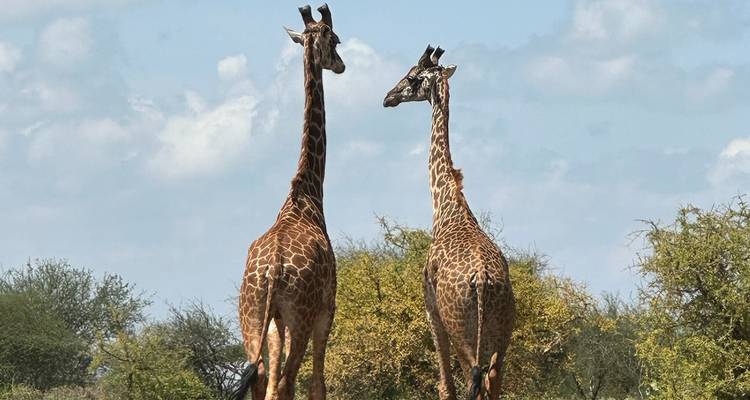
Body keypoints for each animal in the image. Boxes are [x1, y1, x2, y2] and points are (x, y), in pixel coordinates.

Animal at [234, 4, 345, 400]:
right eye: (336, 39)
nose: (341, 65)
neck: (306, 194)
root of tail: (271, 271)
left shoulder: (274, 321)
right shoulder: (327, 306)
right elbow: (317, 385)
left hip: (252, 315)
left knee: (262, 376)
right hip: (300, 314)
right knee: (284, 380)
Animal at [383, 46, 516, 400]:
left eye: (412, 77)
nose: (388, 97)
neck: (447, 208)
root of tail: (482, 281)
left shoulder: (431, 309)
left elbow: (445, 384)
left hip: (461, 329)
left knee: (473, 378)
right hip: (503, 330)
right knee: (492, 379)